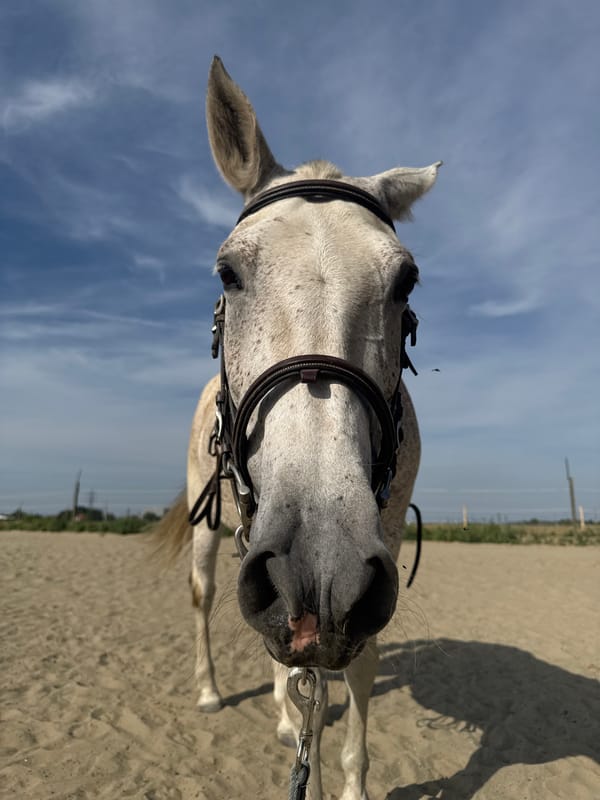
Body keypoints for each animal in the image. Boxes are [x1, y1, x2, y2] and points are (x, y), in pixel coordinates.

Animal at [157, 56, 441, 800]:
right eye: (228, 271)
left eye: (406, 281)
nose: (320, 573)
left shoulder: (377, 545)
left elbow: (355, 662)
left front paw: (350, 780)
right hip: (222, 523)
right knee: (205, 595)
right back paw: (213, 692)